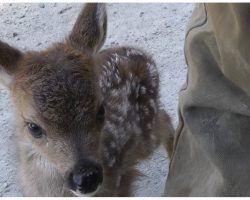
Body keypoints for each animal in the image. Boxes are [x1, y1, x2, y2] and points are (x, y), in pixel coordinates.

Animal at [0, 3, 173, 197]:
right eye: (33, 127)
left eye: (101, 111)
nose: (87, 178)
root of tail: (141, 53)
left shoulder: (121, 181)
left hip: (146, 129)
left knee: (166, 121)